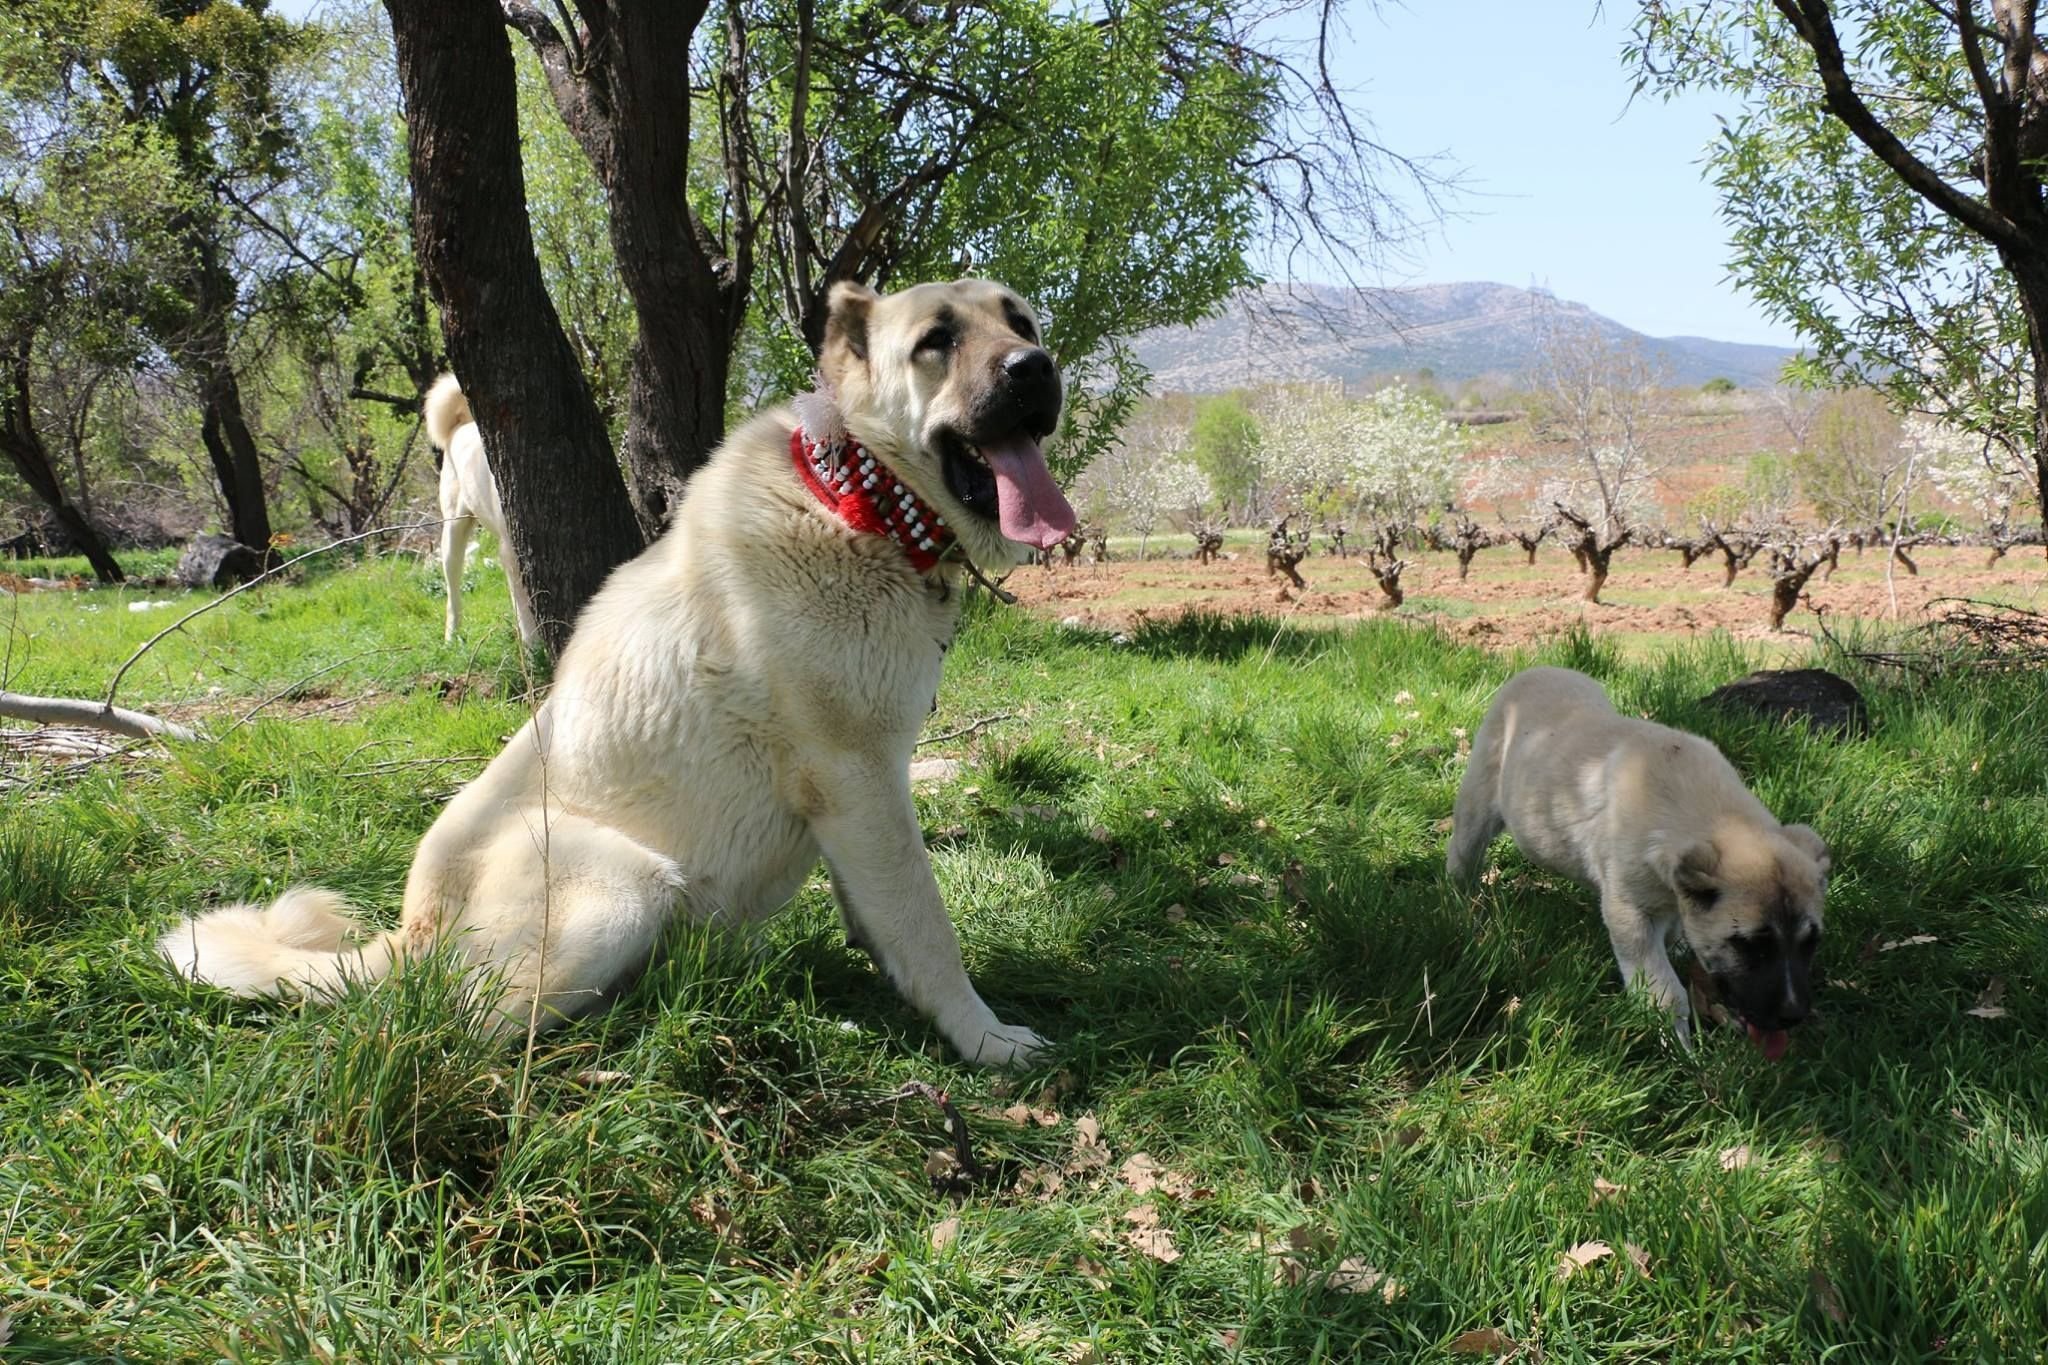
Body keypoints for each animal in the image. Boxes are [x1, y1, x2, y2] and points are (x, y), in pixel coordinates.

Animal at [423, 370, 540, 650]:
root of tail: (461, 425)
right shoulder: (511, 552)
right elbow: (525, 608)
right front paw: (535, 647)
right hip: (454, 531)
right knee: (453, 592)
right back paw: (451, 637)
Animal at [1449, 667, 1835, 1064]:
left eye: (1810, 942)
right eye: (1751, 945)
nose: (1793, 1016)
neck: (1717, 816)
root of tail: (1538, 669)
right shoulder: (1630, 913)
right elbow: (1665, 992)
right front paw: (1681, 1054)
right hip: (1478, 803)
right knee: (1462, 853)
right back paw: (1461, 902)